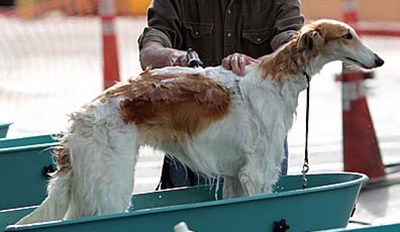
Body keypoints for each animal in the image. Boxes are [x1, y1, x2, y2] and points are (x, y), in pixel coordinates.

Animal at [16, 19, 384, 225]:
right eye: (348, 36)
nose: (379, 60)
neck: (276, 78)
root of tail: (78, 123)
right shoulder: (258, 173)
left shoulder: (236, 177)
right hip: (111, 187)